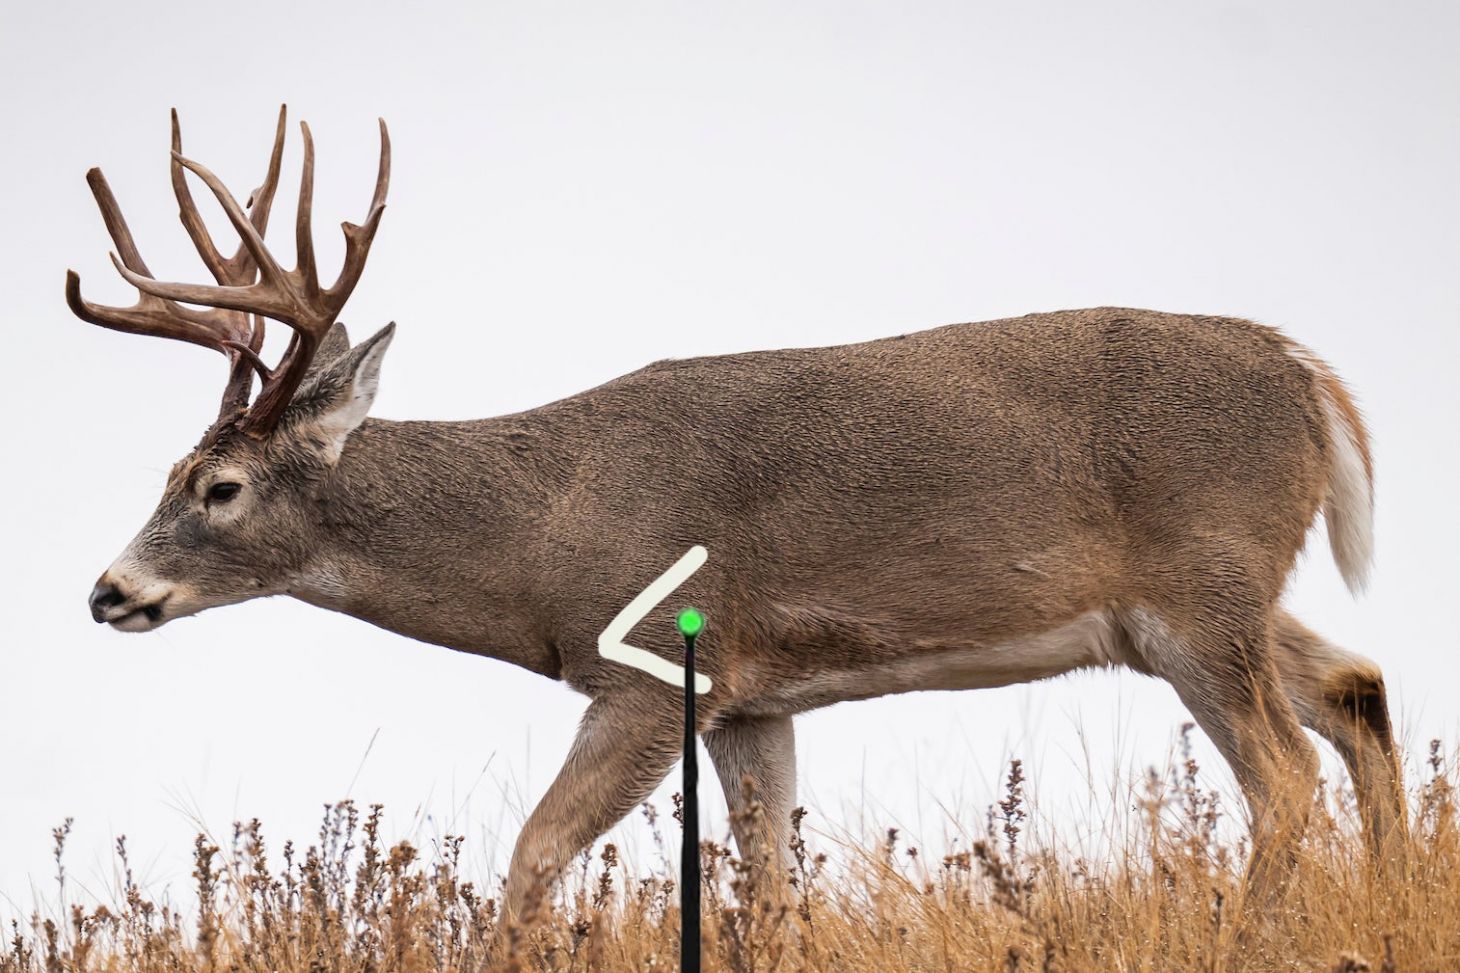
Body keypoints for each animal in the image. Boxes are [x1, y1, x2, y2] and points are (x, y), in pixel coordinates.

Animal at [68, 108, 1403, 920]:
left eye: (218, 487)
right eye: (167, 470)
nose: (108, 590)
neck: (540, 532)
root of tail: (1307, 374)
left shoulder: (646, 669)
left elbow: (532, 855)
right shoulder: (751, 697)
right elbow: (766, 881)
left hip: (1198, 589)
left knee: (1282, 776)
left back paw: (1246, 927)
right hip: (1208, 602)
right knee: (1354, 688)